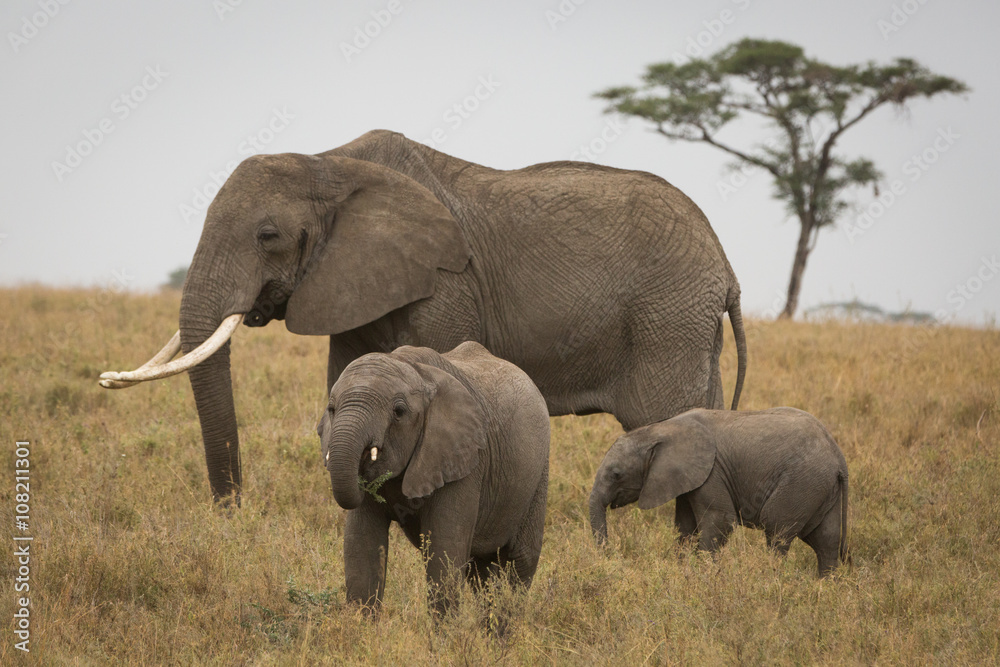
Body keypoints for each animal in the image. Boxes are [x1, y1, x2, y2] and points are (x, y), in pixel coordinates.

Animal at [100, 129, 746, 504]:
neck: (328, 163)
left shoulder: (446, 282)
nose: (232, 513)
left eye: (268, 236)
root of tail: (725, 266)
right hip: (686, 321)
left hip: (668, 316)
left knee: (666, 415)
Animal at [317, 342, 550, 617]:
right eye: (332, 409)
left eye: (398, 412)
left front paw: (446, 631)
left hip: (538, 476)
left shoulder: (464, 462)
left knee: (519, 562)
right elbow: (361, 547)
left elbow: (444, 551)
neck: (412, 368)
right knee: (480, 571)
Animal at [589, 407, 849, 576]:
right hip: (820, 487)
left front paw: (703, 577)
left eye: (616, 474)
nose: (611, 558)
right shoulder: (688, 478)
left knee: (777, 531)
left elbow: (720, 521)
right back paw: (825, 586)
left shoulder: (712, 472)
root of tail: (838, 456)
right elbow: (685, 527)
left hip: (801, 483)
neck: (660, 429)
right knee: (826, 540)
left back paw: (771, 579)